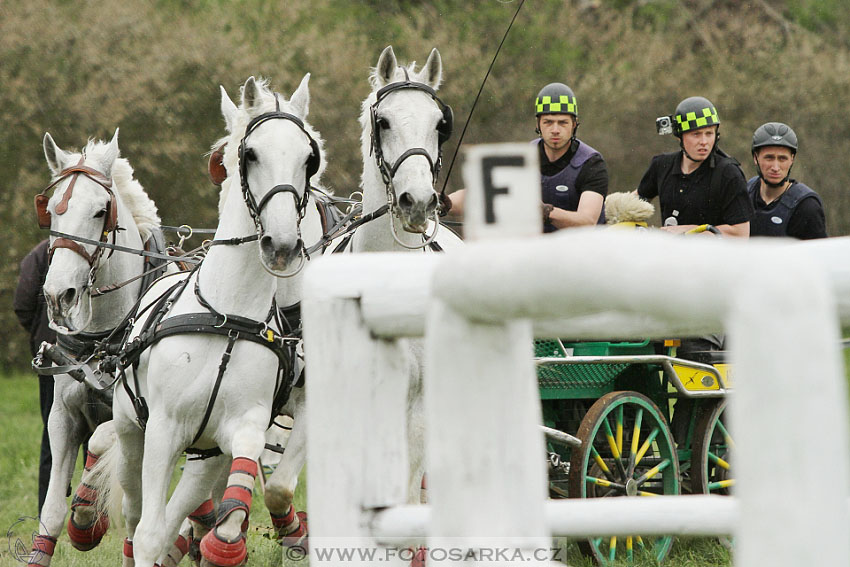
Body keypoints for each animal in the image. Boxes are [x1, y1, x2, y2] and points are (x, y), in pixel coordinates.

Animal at [30, 131, 163, 564]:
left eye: (100, 211)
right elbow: (51, 511)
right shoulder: (61, 416)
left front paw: (87, 516)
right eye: (52, 210)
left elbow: (102, 440)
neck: (102, 337)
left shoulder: (133, 415)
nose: (59, 295)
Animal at [103, 75, 324, 567]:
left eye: (309, 158)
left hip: (205, 457)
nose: (282, 245)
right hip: (131, 434)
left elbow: (237, 497)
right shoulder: (163, 428)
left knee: (176, 514)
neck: (227, 316)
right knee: (136, 516)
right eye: (250, 153)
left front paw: (224, 541)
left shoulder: (243, 426)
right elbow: (147, 533)